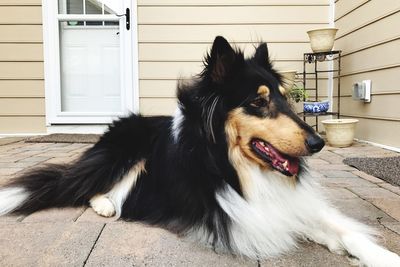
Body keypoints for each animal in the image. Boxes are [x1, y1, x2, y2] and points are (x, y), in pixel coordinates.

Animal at [0, 36, 400, 266]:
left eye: (286, 99)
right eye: (258, 102)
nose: (319, 144)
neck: (235, 168)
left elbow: (339, 228)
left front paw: (380, 256)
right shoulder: (244, 216)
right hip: (125, 151)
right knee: (84, 188)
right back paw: (105, 205)